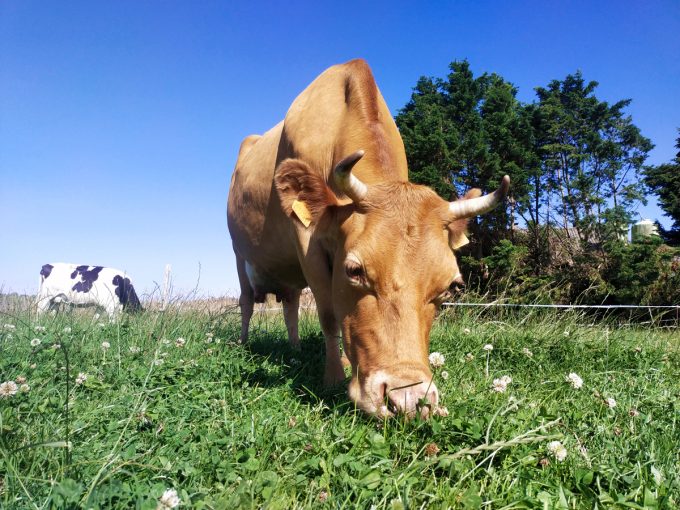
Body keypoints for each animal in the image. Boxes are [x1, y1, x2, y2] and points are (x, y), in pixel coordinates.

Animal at [227, 59, 509, 418]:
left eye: (452, 286)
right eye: (355, 271)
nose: (408, 400)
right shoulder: (307, 242)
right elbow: (328, 315)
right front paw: (333, 377)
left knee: (290, 306)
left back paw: (295, 347)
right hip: (239, 256)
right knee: (247, 303)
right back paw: (244, 343)